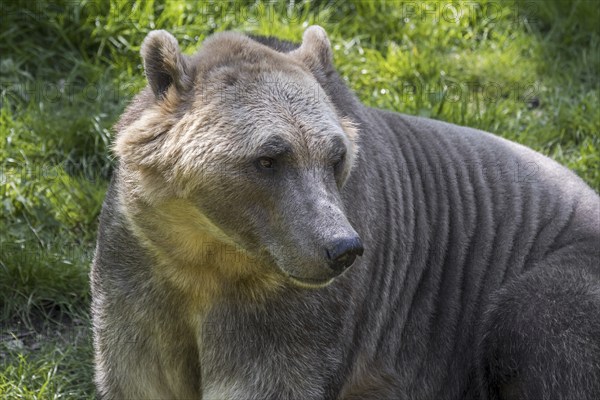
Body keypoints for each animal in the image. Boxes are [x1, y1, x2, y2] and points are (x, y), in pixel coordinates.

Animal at [90, 25, 600, 400]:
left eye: (336, 157)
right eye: (268, 158)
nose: (342, 248)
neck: (208, 253)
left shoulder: (294, 316)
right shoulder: (139, 274)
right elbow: (138, 375)